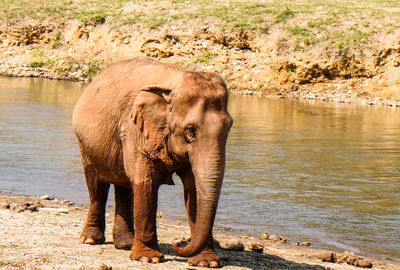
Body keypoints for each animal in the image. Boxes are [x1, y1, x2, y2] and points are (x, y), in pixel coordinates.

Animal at [72, 58, 231, 266]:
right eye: (190, 130)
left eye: (229, 127)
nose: (178, 241)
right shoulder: (135, 130)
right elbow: (145, 182)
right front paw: (149, 258)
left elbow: (195, 189)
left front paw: (207, 263)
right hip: (86, 144)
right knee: (97, 185)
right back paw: (91, 240)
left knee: (124, 185)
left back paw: (125, 244)